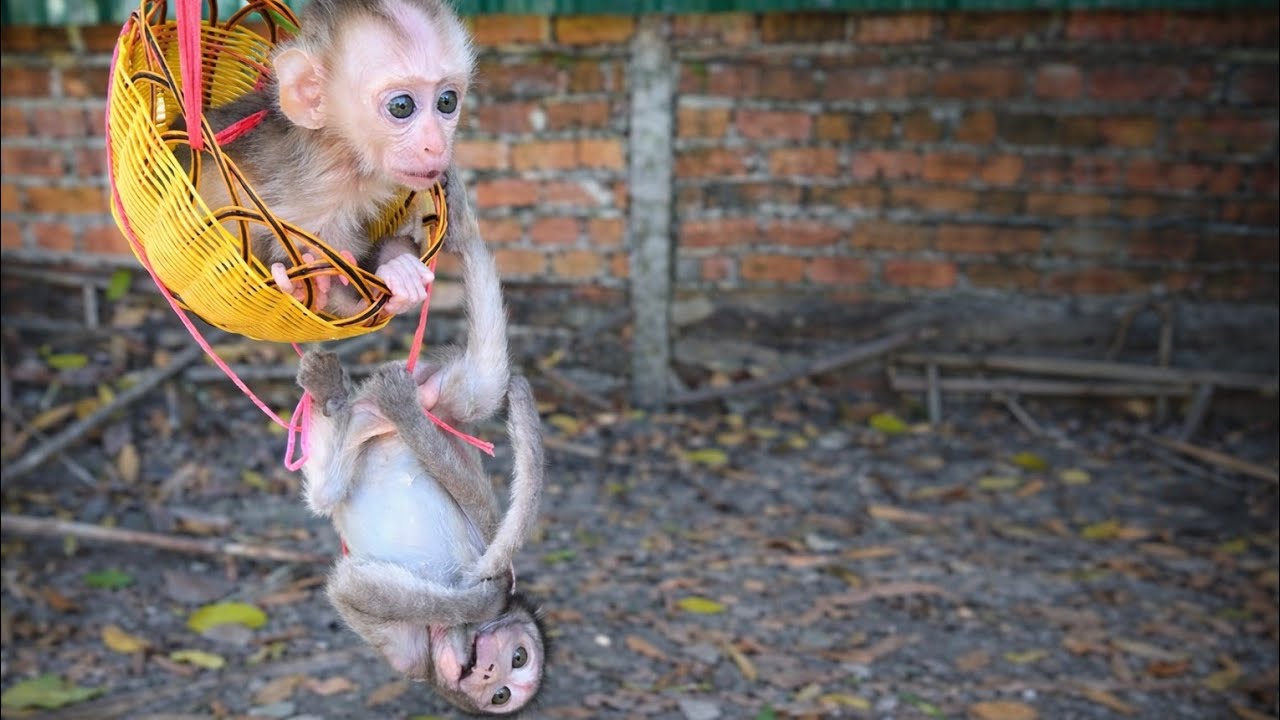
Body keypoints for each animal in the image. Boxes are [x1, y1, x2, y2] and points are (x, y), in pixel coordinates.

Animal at [182, 0, 476, 318]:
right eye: (401, 106)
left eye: (447, 101)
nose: (435, 145)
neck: (339, 151)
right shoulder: (327, 195)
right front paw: (301, 289)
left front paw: (398, 265)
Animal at [294, 183, 546, 714]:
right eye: (516, 658)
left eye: (503, 693)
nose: (489, 672)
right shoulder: (496, 576)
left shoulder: (419, 659)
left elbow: (352, 587)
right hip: (440, 400)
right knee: (480, 389)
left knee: (326, 492)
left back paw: (336, 399)